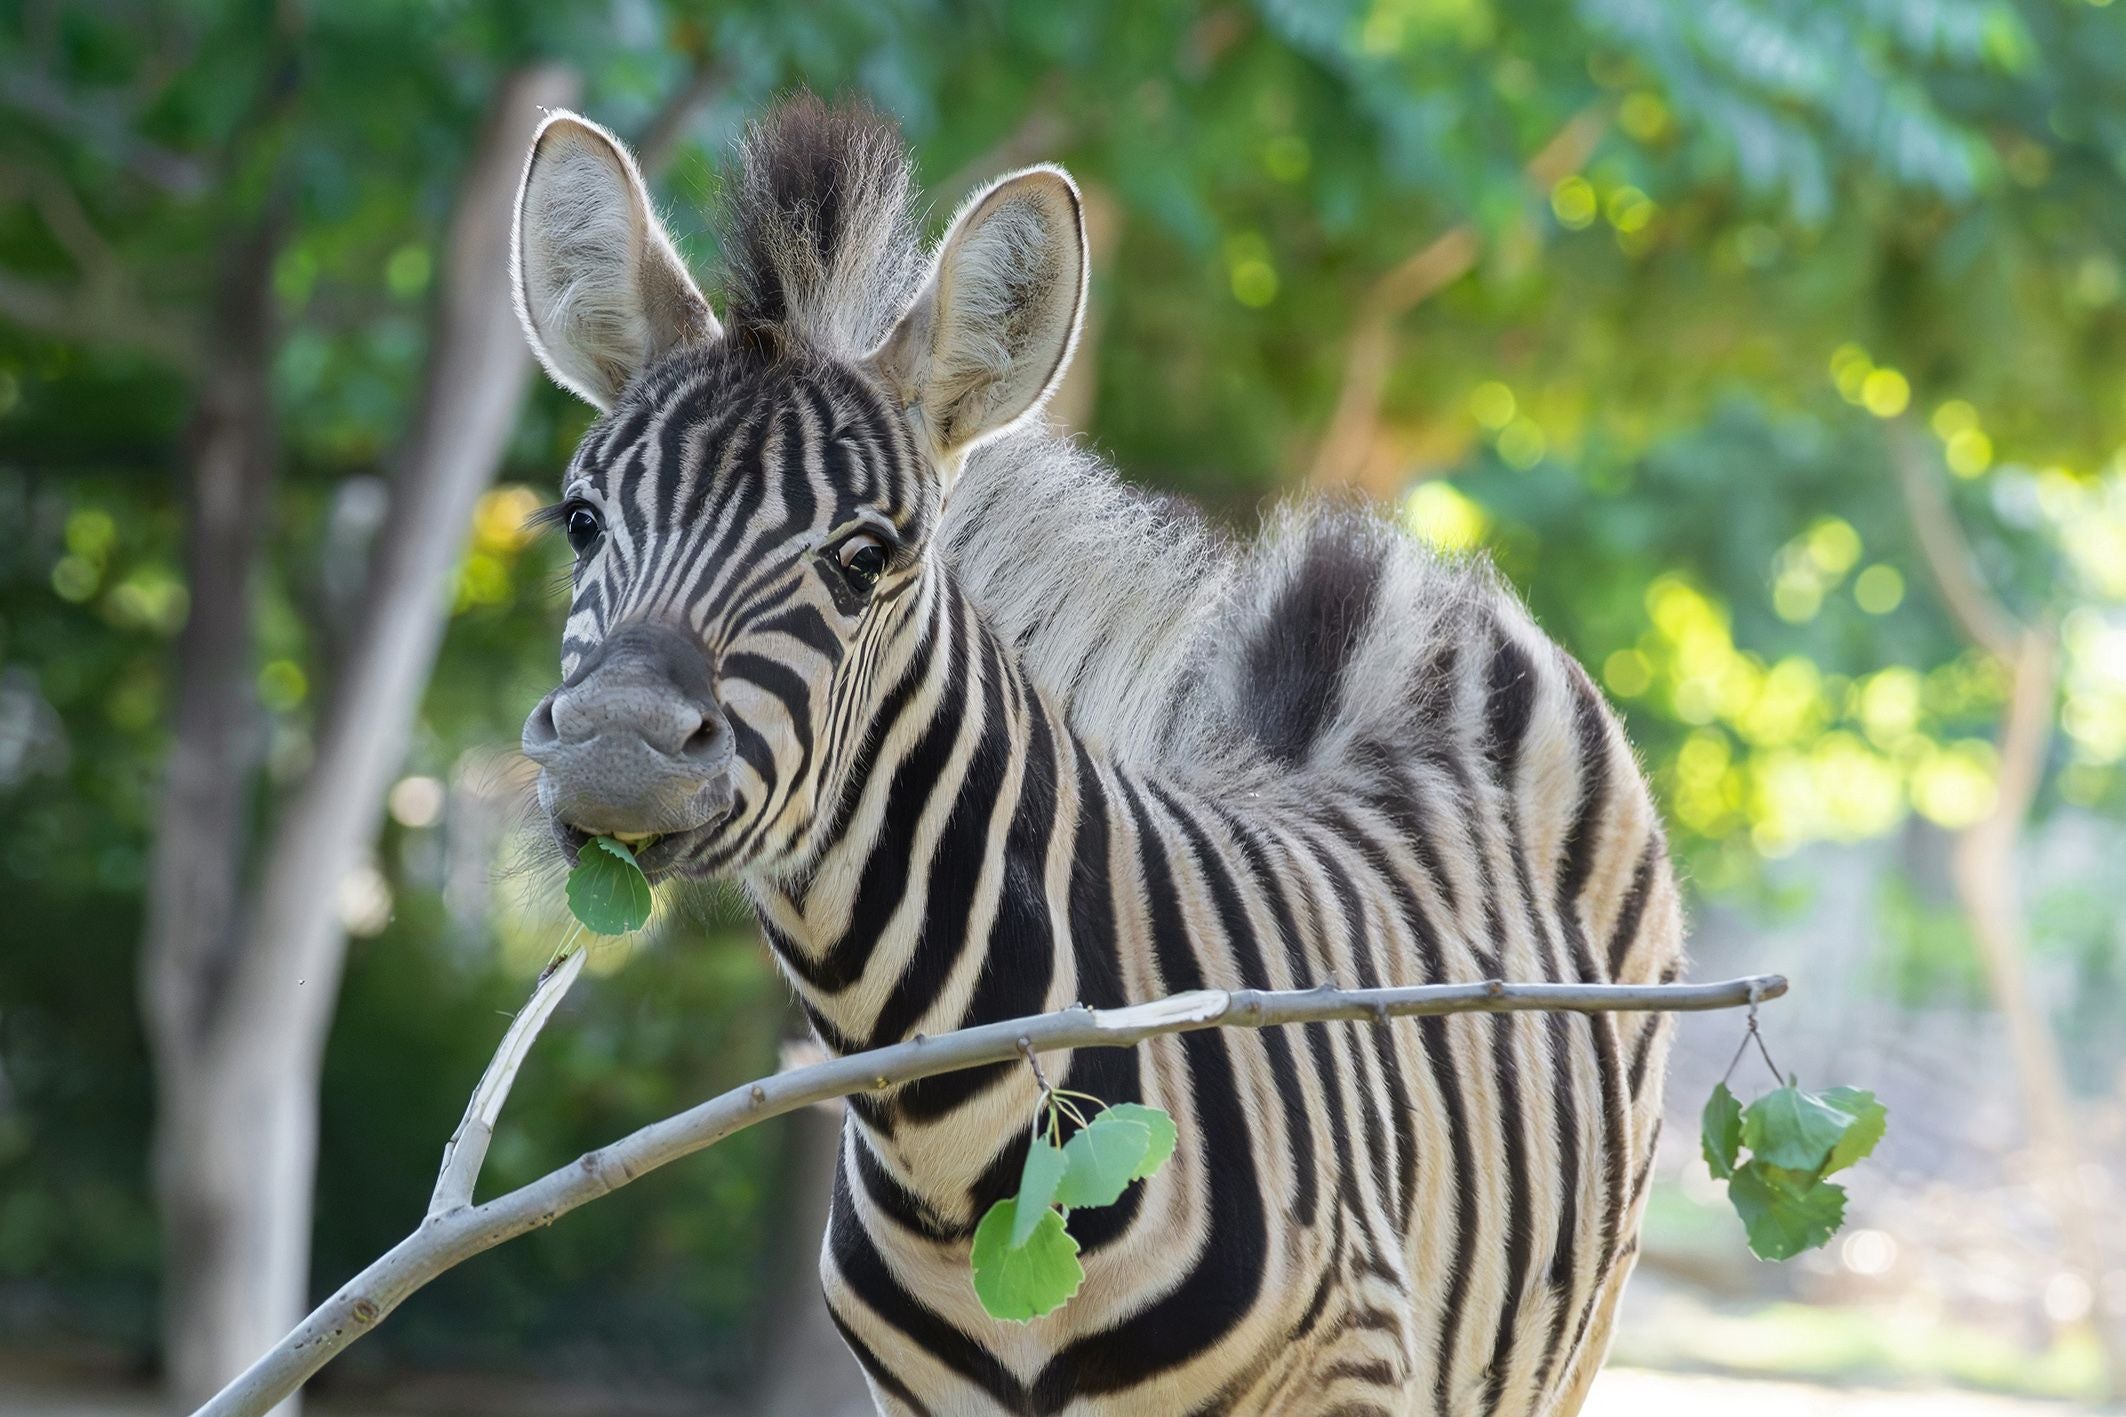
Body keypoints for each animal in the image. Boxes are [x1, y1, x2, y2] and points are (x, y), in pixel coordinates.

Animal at [509, 95, 1685, 1416]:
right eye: (582, 522)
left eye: (864, 558)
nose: (613, 750)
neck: (954, 1149)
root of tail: (1425, 602)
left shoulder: (1342, 1377)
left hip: (1567, 1333)